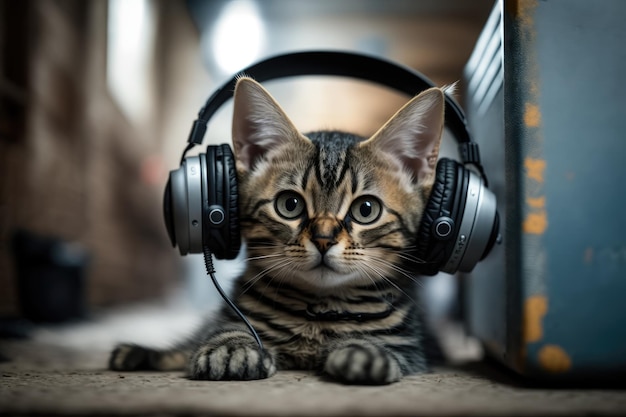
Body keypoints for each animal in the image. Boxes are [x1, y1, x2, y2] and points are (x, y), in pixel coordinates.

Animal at [109, 75, 446, 384]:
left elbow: (384, 345)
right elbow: (223, 330)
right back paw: (138, 354)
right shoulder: (231, 315)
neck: (318, 312)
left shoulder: (412, 344)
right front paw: (232, 347)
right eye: (290, 205)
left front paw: (364, 351)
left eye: (366, 210)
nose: (324, 238)